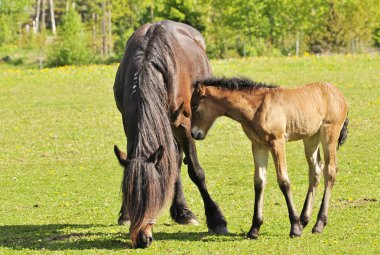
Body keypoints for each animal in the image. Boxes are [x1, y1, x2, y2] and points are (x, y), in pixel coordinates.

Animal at [112, 20, 226, 248]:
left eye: (153, 198)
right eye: (130, 195)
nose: (141, 239)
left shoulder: (183, 124)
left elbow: (196, 172)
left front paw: (216, 219)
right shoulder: (129, 124)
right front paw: (125, 214)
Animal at [190, 77, 348, 239]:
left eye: (195, 106)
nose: (194, 133)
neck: (257, 107)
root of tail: (338, 93)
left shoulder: (277, 142)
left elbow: (284, 181)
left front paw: (294, 227)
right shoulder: (258, 145)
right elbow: (259, 181)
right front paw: (254, 229)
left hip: (329, 133)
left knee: (330, 171)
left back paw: (318, 224)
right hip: (311, 137)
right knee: (316, 170)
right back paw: (304, 221)